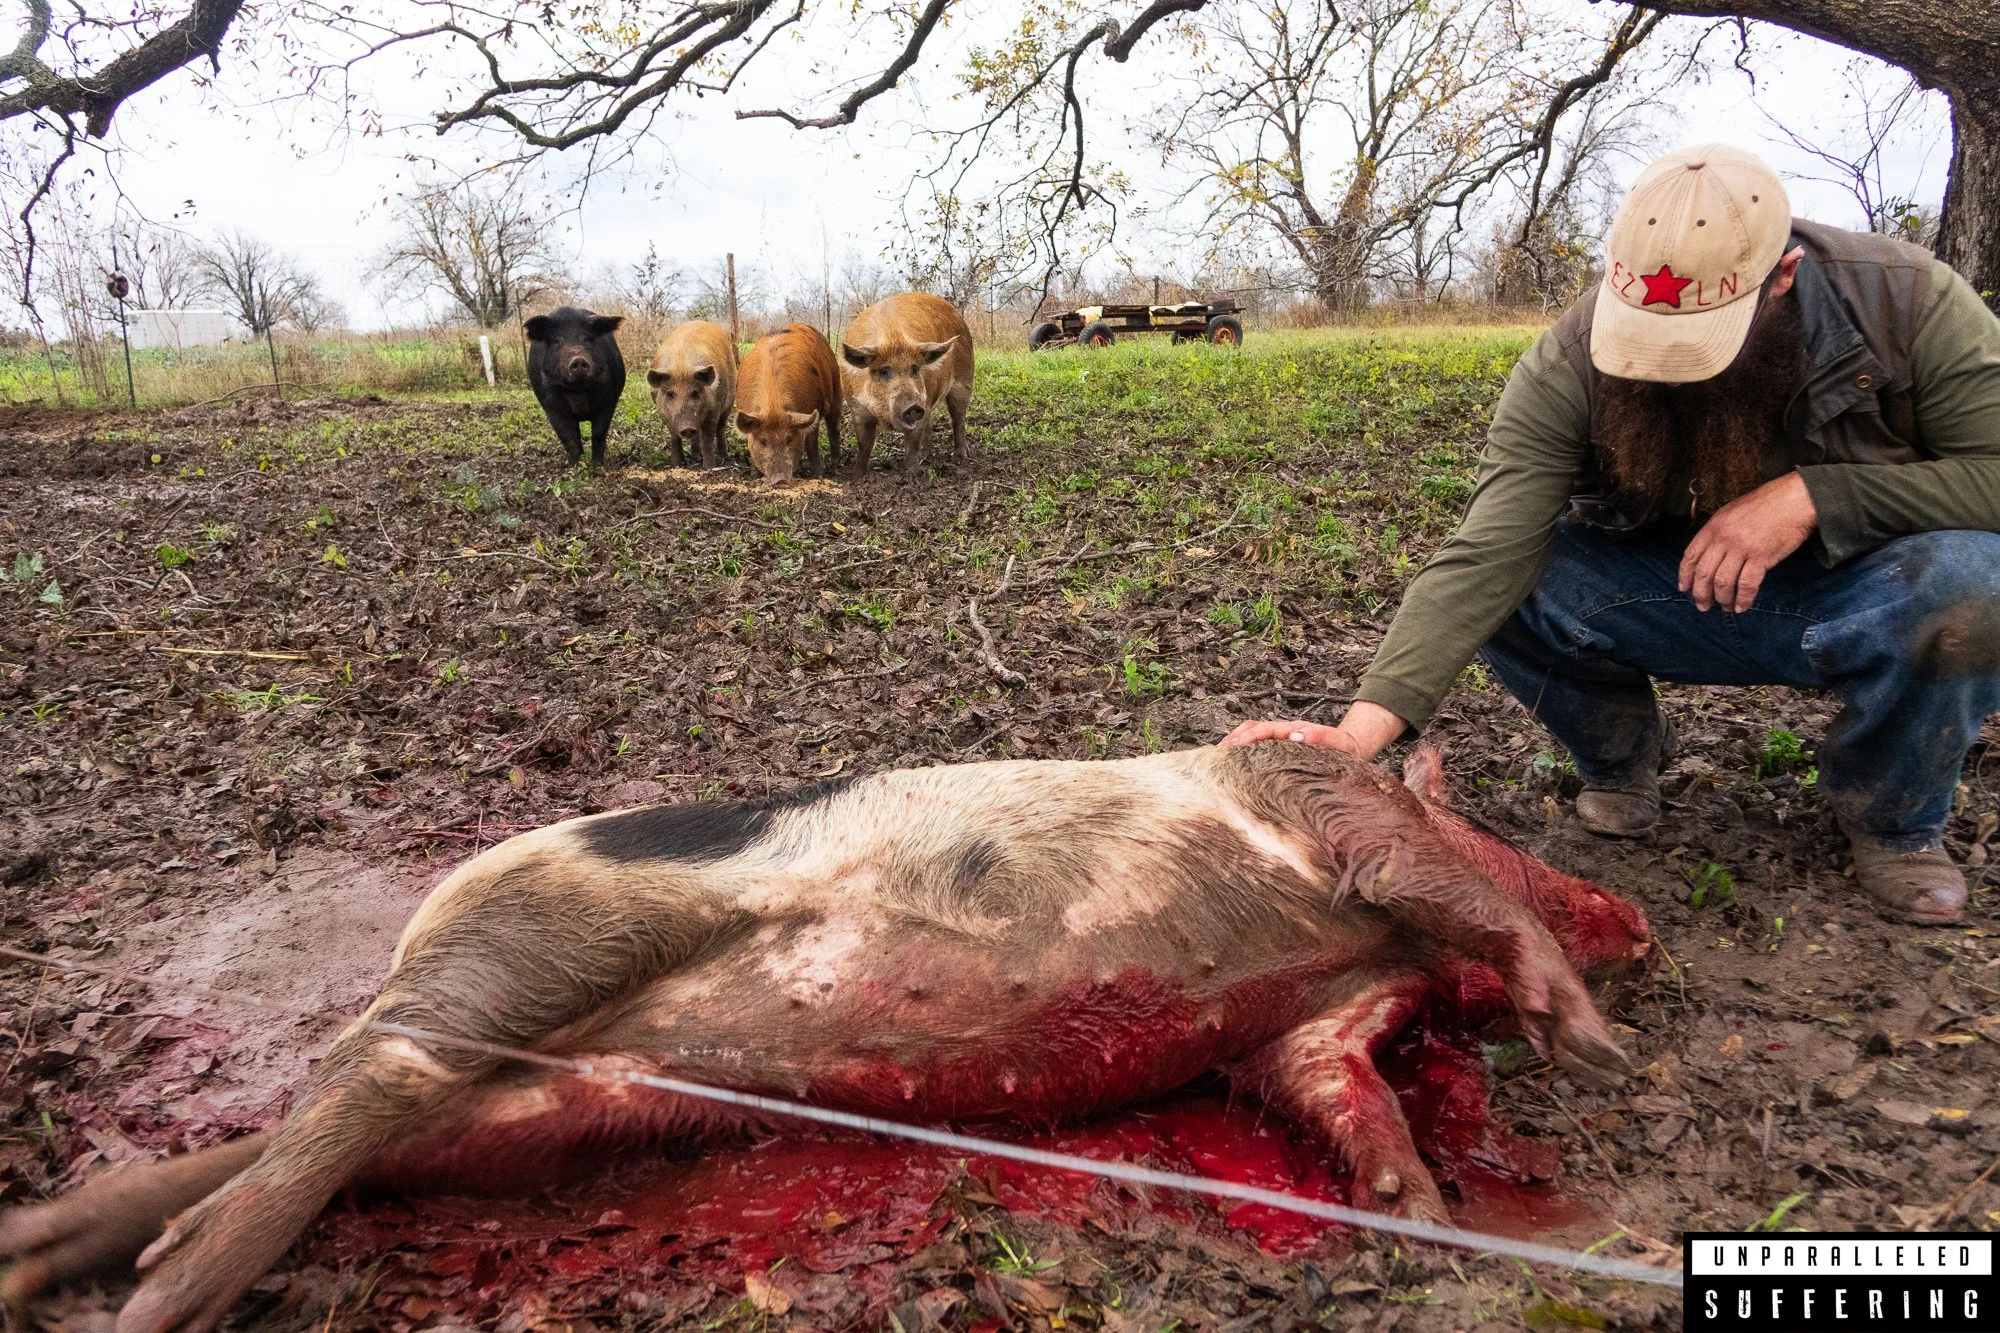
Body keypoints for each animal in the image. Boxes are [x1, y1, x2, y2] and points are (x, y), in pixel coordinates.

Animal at [0, 742, 1646, 1332]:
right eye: (1496, 821)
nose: (1632, 914)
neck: (1376, 957)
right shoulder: (1313, 794)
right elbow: (1431, 877)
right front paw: (1590, 1042)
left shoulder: (1302, 1030)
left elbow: (1335, 1085)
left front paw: (1418, 1210)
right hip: (520, 949)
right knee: (357, 1075)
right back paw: (160, 1303)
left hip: (572, 1102)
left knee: (355, 1140)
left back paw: (65, 1260)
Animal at [524, 307, 627, 469]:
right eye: (556, 340)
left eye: (587, 338)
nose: (578, 359)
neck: (578, 391)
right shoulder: (552, 404)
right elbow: (568, 436)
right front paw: (576, 467)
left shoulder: (608, 401)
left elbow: (598, 433)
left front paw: (597, 466)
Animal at [646, 321, 737, 469]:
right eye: (670, 394)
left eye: (695, 393)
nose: (687, 427)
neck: (681, 366)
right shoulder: (665, 414)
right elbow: (675, 437)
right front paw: (676, 465)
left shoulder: (714, 409)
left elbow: (707, 438)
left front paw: (709, 468)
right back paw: (695, 457)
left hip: (729, 401)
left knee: (720, 427)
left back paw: (723, 456)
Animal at [734, 323, 842, 485]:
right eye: (763, 441)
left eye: (789, 439)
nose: (781, 481)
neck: (774, 405)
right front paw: (753, 475)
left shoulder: (813, 406)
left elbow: (811, 443)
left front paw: (818, 474)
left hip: (836, 386)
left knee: (833, 427)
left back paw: (835, 463)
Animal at [840, 293, 975, 476]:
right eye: (884, 371)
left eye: (915, 368)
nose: (912, 406)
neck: (892, 336)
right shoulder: (857, 409)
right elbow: (864, 445)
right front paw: (857, 476)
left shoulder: (923, 402)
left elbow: (912, 445)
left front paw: (912, 475)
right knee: (930, 422)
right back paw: (926, 455)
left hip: (965, 379)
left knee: (958, 417)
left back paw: (961, 456)